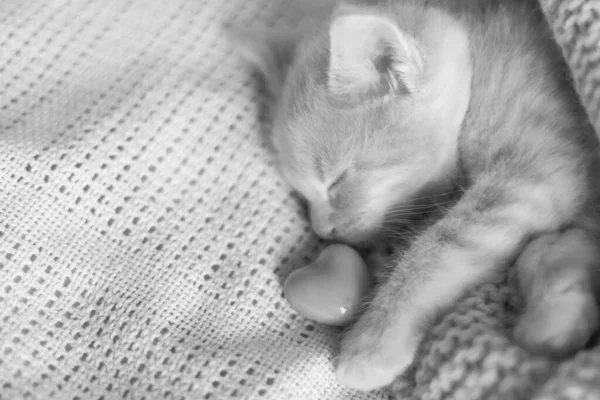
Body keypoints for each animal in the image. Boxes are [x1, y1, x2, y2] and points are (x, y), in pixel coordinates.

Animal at [229, 0, 600, 390]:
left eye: (335, 182)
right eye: (302, 195)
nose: (321, 229)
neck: (477, 68)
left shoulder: (537, 172)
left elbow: (438, 250)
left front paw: (375, 341)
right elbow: (551, 251)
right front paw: (556, 318)